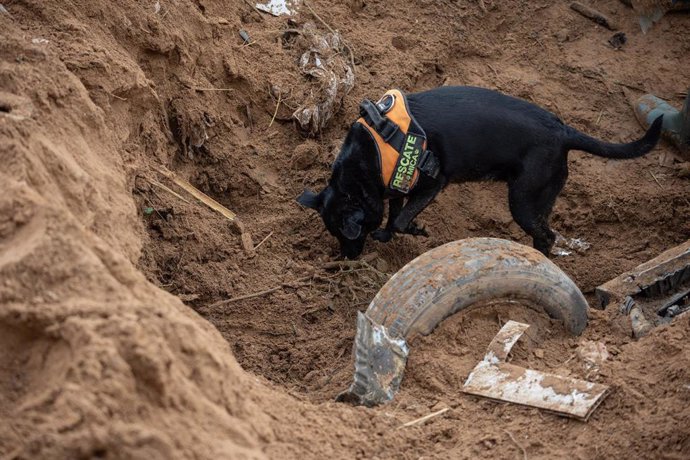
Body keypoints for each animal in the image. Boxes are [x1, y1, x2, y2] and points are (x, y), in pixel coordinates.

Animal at [296, 86, 660, 258]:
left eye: (345, 235)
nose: (346, 258)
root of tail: (563, 131)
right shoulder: (399, 181)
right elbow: (395, 213)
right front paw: (391, 234)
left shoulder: (434, 181)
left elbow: (400, 218)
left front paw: (415, 230)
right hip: (540, 200)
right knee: (547, 230)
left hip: (523, 201)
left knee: (547, 236)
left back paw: (538, 255)